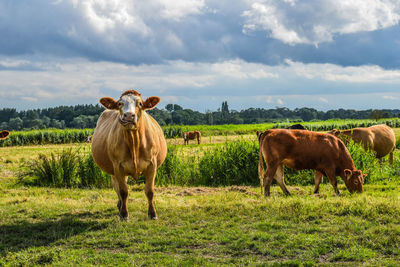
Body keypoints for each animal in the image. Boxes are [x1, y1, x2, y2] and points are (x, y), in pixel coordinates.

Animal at [92, 90, 167, 220]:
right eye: (120, 103)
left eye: (140, 103)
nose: (128, 116)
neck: (134, 143)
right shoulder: (118, 166)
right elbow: (123, 191)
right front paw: (124, 214)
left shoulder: (152, 165)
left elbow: (150, 191)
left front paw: (152, 214)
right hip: (113, 170)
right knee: (117, 187)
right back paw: (120, 205)